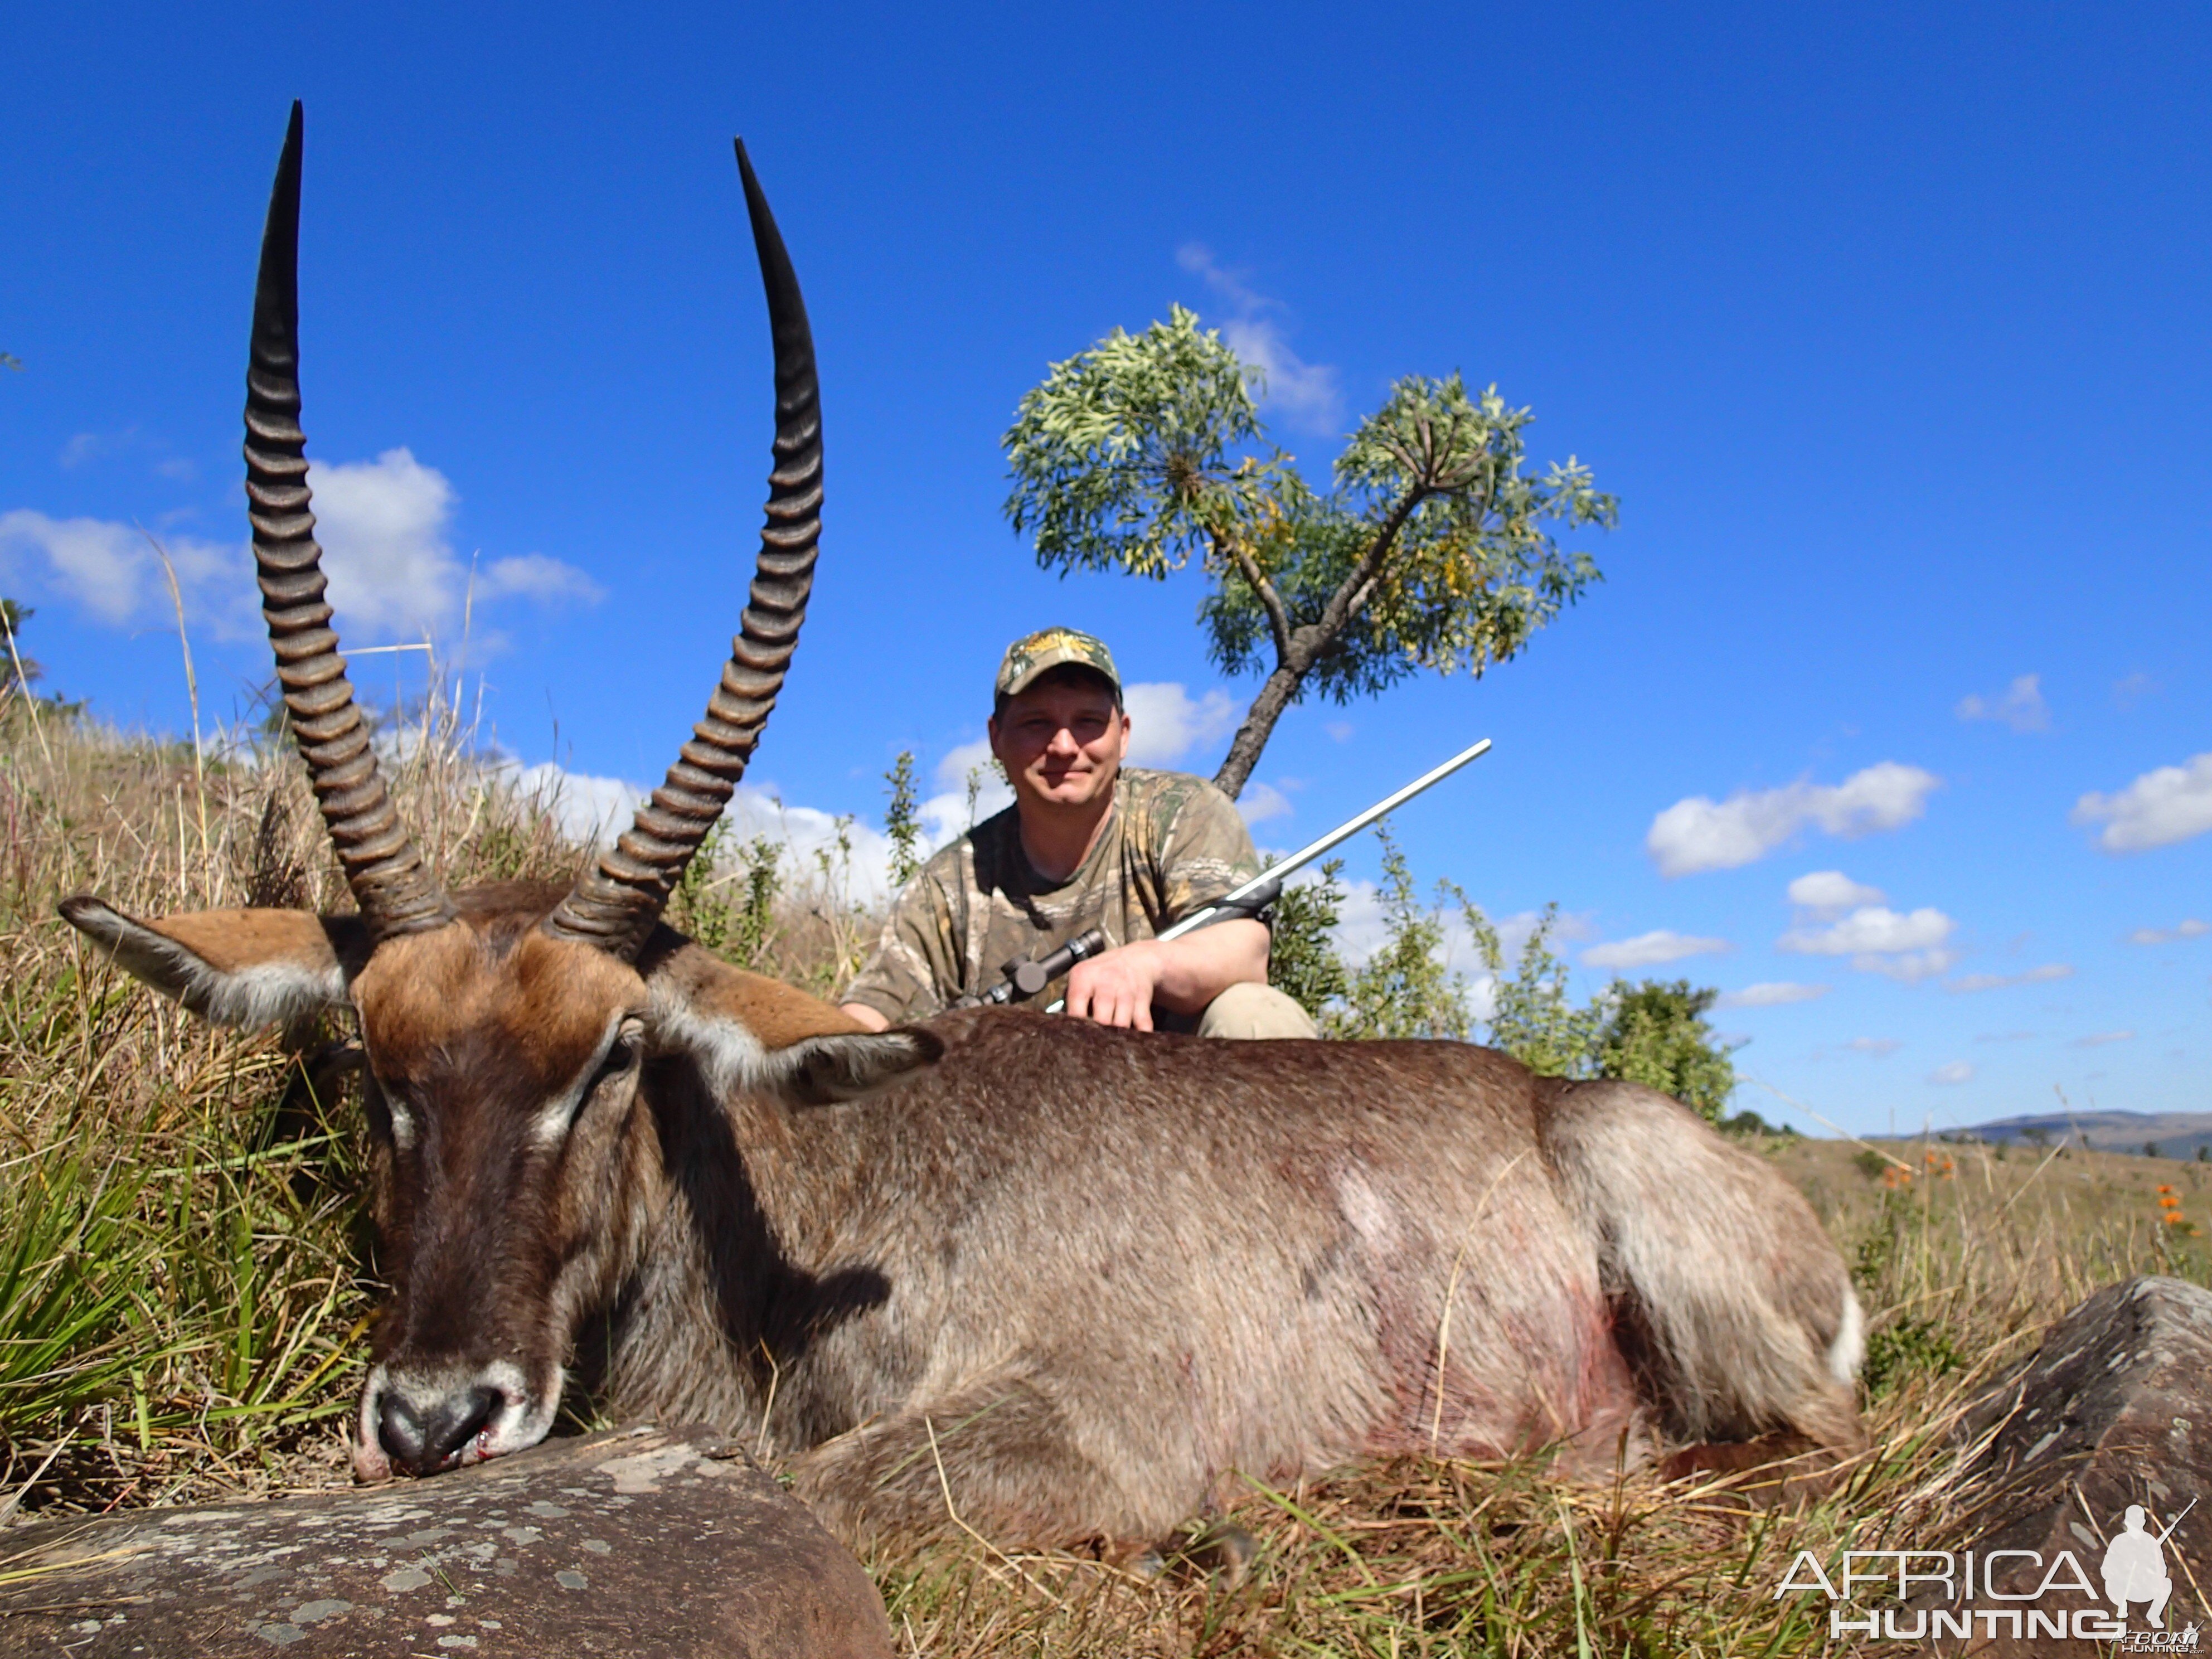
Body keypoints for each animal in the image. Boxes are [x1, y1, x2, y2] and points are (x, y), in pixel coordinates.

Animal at [65, 107, 1866, 1557]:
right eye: (371, 1060)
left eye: (615, 1056)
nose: (437, 1416)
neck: (823, 1209)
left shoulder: (1083, 1424)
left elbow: (809, 1492)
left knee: (1807, 1453)